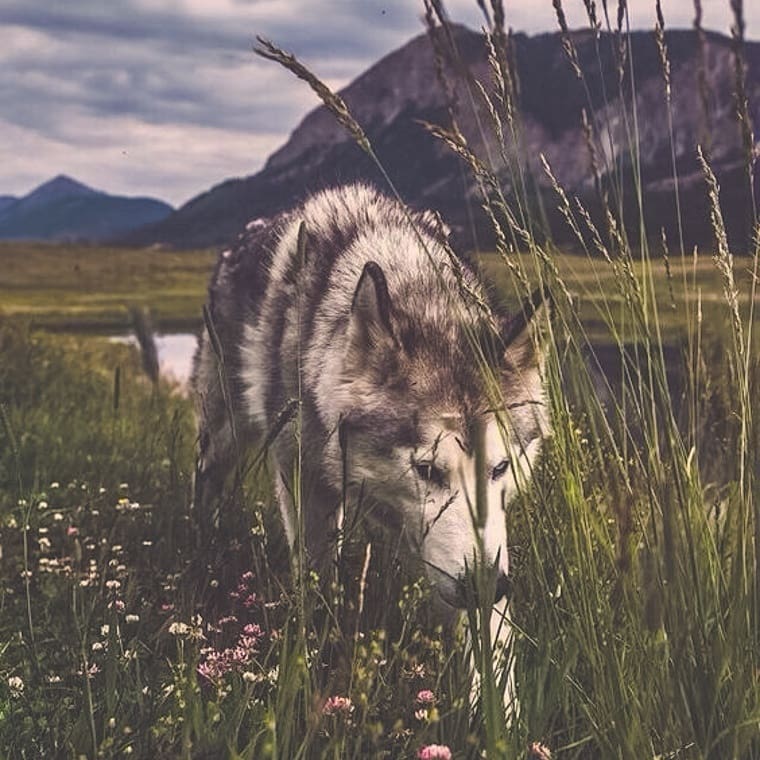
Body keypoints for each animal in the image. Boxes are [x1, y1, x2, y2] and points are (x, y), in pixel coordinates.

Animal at [192, 184, 550, 699]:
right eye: (428, 470)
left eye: (499, 469)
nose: (486, 586)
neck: (417, 289)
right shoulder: (304, 483)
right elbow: (316, 588)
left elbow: (495, 660)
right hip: (225, 434)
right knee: (207, 481)